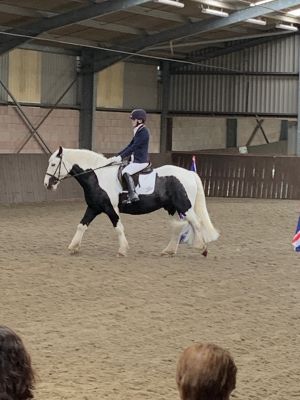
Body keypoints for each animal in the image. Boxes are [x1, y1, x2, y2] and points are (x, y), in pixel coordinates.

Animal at [43, 147, 219, 256]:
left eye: (53, 164)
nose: (47, 184)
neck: (98, 176)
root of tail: (189, 173)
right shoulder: (94, 207)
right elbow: (81, 225)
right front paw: (73, 247)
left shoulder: (110, 208)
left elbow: (118, 227)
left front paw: (122, 250)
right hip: (172, 208)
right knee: (178, 227)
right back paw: (169, 251)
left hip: (184, 206)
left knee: (196, 223)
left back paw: (202, 248)